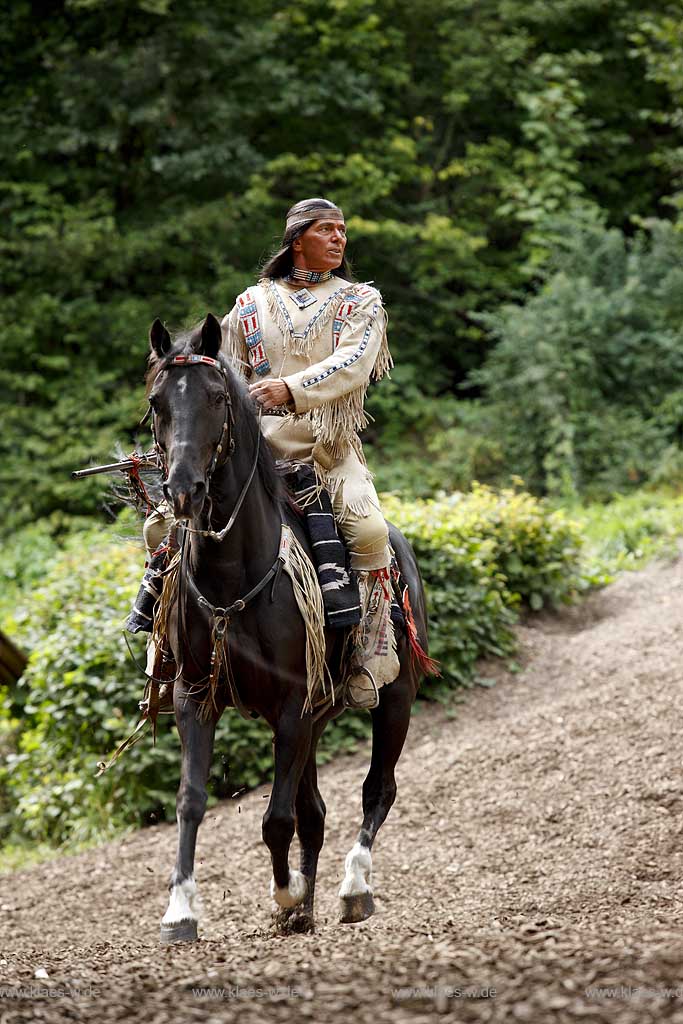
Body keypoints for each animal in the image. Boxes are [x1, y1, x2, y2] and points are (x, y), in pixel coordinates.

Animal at [147, 313, 430, 942]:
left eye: (217, 398)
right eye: (158, 402)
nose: (183, 490)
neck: (234, 576)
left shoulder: (293, 704)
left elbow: (275, 818)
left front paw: (285, 893)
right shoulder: (194, 697)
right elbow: (191, 800)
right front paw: (181, 911)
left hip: (394, 696)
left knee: (378, 790)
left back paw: (352, 889)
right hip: (317, 720)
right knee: (315, 811)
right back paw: (309, 904)